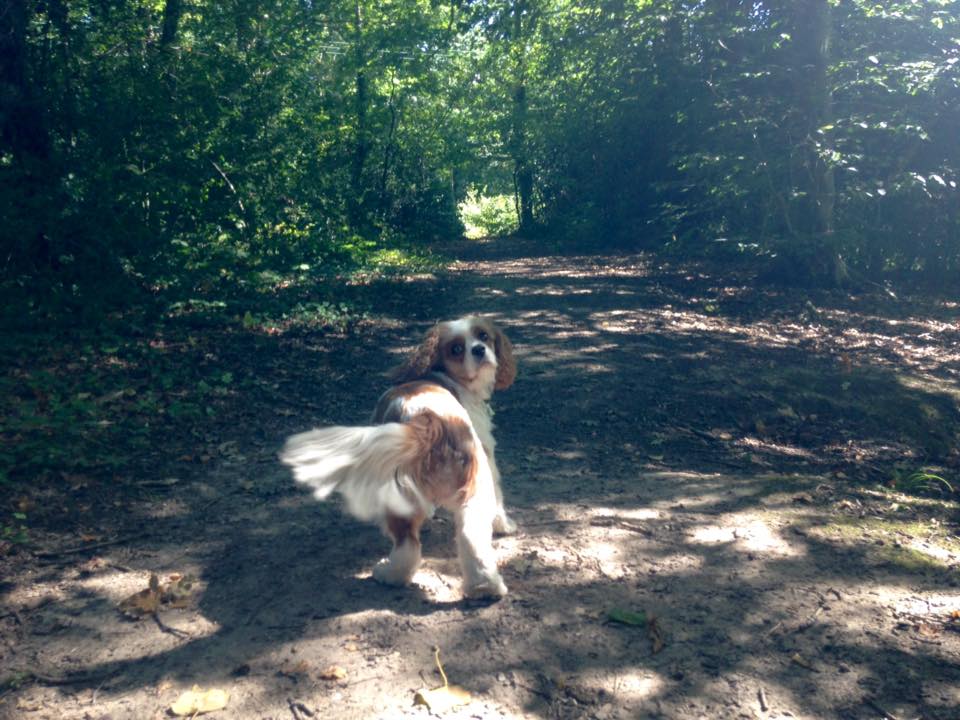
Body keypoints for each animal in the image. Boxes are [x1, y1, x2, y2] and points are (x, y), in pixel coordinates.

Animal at [280, 318, 516, 600]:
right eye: (457, 349)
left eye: (483, 336)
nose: (479, 349)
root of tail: (429, 421)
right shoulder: (487, 456)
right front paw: (503, 524)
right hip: (472, 489)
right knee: (466, 539)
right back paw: (481, 588)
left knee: (409, 546)